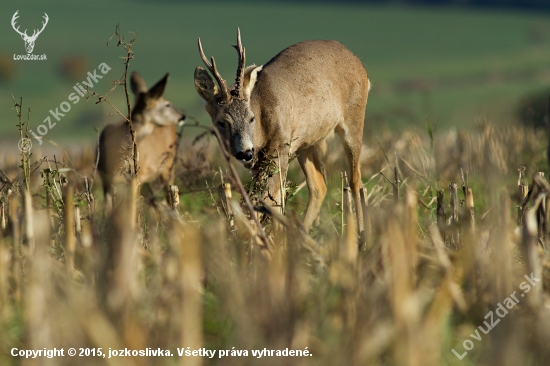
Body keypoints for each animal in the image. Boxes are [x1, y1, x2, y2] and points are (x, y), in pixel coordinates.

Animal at [196, 28, 374, 232]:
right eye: (221, 122)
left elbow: (270, 200)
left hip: (354, 119)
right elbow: (263, 199)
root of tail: (359, 63)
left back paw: (361, 234)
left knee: (356, 181)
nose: (246, 152)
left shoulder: (279, 149)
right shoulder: (262, 161)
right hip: (304, 143)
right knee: (319, 187)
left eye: (251, 118)